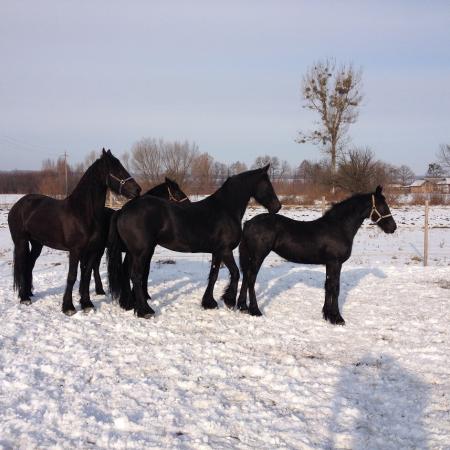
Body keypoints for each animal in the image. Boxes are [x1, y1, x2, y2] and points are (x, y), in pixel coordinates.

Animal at [8, 149, 141, 314]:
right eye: (116, 170)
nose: (137, 190)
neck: (82, 213)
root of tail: (18, 205)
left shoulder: (92, 250)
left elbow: (86, 275)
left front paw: (87, 304)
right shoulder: (75, 250)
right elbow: (72, 276)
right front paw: (68, 307)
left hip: (37, 244)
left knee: (29, 265)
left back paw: (28, 294)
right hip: (21, 242)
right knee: (22, 265)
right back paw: (24, 298)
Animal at [107, 164, 280, 316]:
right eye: (267, 184)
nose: (277, 206)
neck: (225, 209)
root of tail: (123, 210)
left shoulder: (217, 252)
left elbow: (213, 275)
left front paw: (209, 302)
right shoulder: (225, 250)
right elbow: (236, 273)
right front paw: (229, 300)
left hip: (134, 252)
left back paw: (130, 304)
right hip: (140, 252)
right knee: (135, 276)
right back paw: (144, 311)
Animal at [237, 186, 396, 324]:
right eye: (383, 206)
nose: (393, 228)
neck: (339, 227)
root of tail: (248, 223)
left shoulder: (329, 264)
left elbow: (327, 286)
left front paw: (326, 315)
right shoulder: (335, 263)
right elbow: (335, 288)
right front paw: (337, 318)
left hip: (251, 256)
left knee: (245, 276)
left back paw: (242, 307)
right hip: (258, 256)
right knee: (251, 279)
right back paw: (255, 310)